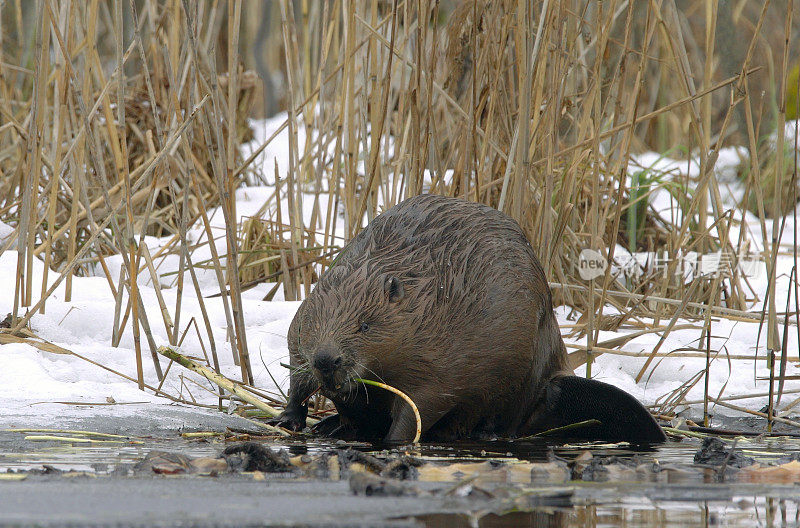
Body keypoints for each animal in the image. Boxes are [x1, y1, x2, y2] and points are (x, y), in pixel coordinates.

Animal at [272, 193, 664, 442]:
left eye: (365, 325)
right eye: (315, 326)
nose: (327, 359)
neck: (426, 306)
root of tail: (553, 383)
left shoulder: (441, 361)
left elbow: (422, 404)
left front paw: (393, 440)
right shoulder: (300, 332)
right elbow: (298, 375)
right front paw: (289, 417)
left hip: (525, 372)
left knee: (501, 416)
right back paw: (331, 426)